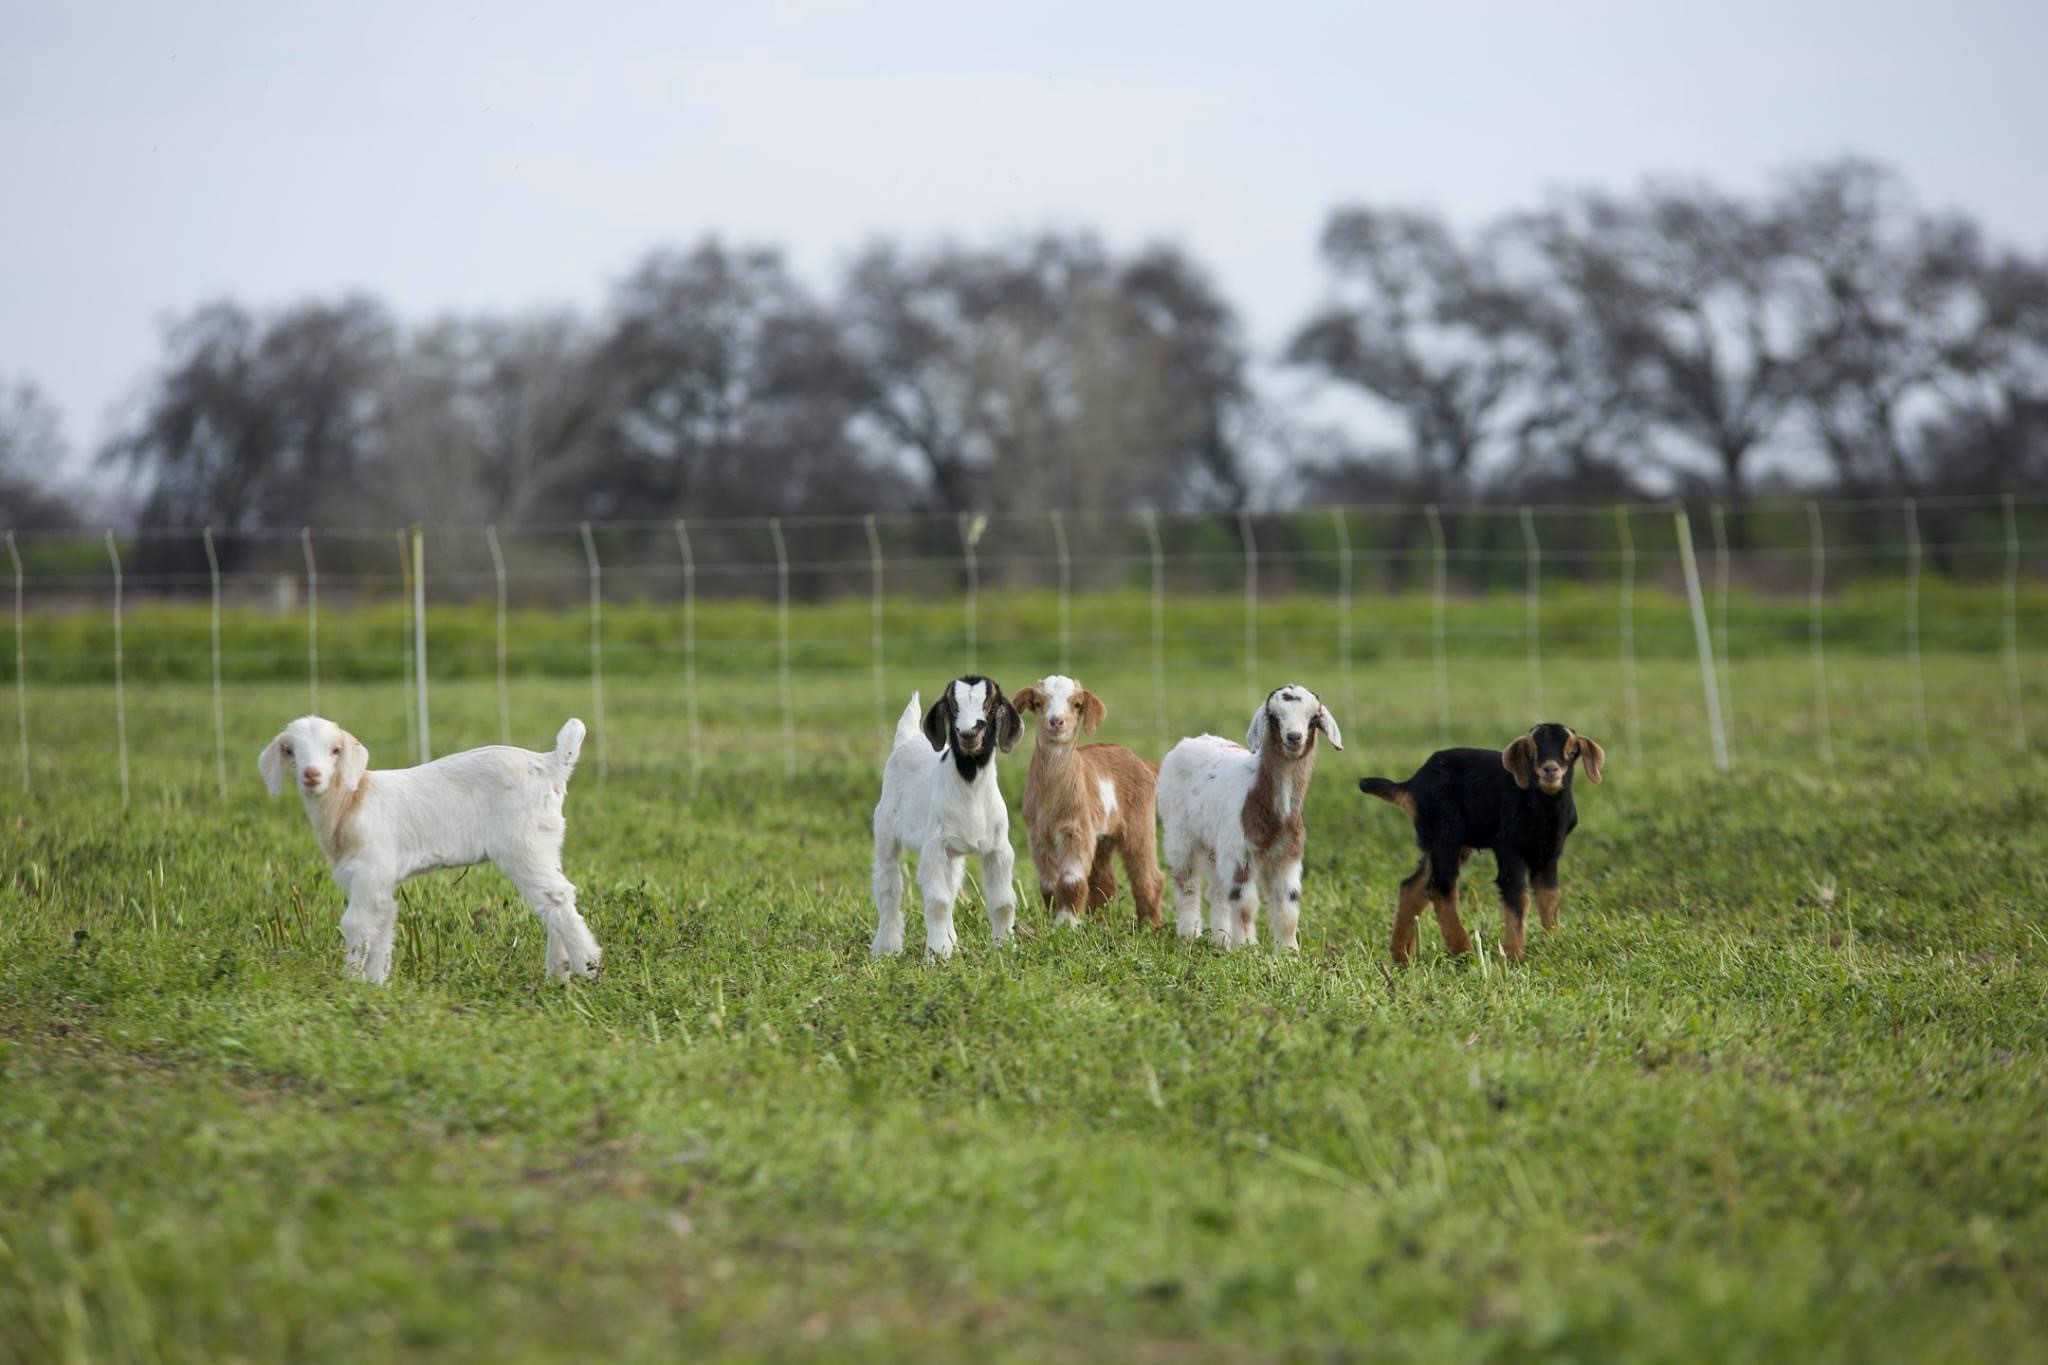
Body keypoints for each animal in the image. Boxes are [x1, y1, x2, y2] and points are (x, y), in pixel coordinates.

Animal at [259, 715, 599, 985]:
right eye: (290, 751)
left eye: (335, 750)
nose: (311, 774)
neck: (351, 800)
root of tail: (551, 764)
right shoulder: (380, 881)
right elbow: (383, 923)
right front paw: (375, 983)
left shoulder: (370, 870)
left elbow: (355, 923)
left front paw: (350, 982)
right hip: (546, 844)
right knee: (553, 902)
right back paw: (558, 972)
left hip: (524, 846)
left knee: (557, 898)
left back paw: (588, 964)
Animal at [870, 676, 1023, 959]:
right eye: (952, 707)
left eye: (990, 706)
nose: (968, 733)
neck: (970, 785)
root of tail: (906, 739)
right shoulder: (934, 847)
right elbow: (937, 901)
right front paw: (938, 953)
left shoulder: (998, 849)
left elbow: (1002, 902)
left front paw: (1005, 947)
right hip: (886, 830)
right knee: (888, 883)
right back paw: (886, 948)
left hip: (952, 854)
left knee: (951, 887)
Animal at [1012, 676, 1163, 930]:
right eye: (1038, 703)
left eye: (1077, 704)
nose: (1056, 722)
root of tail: (1142, 762)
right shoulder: (1038, 835)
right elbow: (1048, 885)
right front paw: (1056, 921)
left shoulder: (1076, 830)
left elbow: (1070, 881)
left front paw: (1066, 924)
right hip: (1102, 836)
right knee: (1104, 881)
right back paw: (1099, 924)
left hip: (1140, 821)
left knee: (1148, 876)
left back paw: (1150, 928)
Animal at [1157, 684, 1344, 950]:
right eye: (1274, 717)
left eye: (1314, 718)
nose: (1294, 737)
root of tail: (1187, 742)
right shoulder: (1240, 852)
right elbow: (1245, 903)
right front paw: (1247, 948)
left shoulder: (1287, 855)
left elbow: (1288, 905)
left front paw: (1289, 951)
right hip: (1178, 829)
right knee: (1187, 882)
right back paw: (1189, 936)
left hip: (1216, 843)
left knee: (1218, 891)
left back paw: (1222, 941)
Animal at [1359, 722, 1606, 964]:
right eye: (1530, 751)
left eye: (1572, 752)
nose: (1550, 770)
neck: (1539, 808)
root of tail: (1412, 784)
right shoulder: (1509, 850)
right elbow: (1518, 897)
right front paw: (1513, 956)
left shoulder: (1549, 854)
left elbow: (1550, 897)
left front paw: (1553, 943)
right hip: (1445, 837)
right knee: (1440, 888)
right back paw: (1464, 951)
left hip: (1444, 844)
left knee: (1413, 886)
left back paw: (1402, 956)